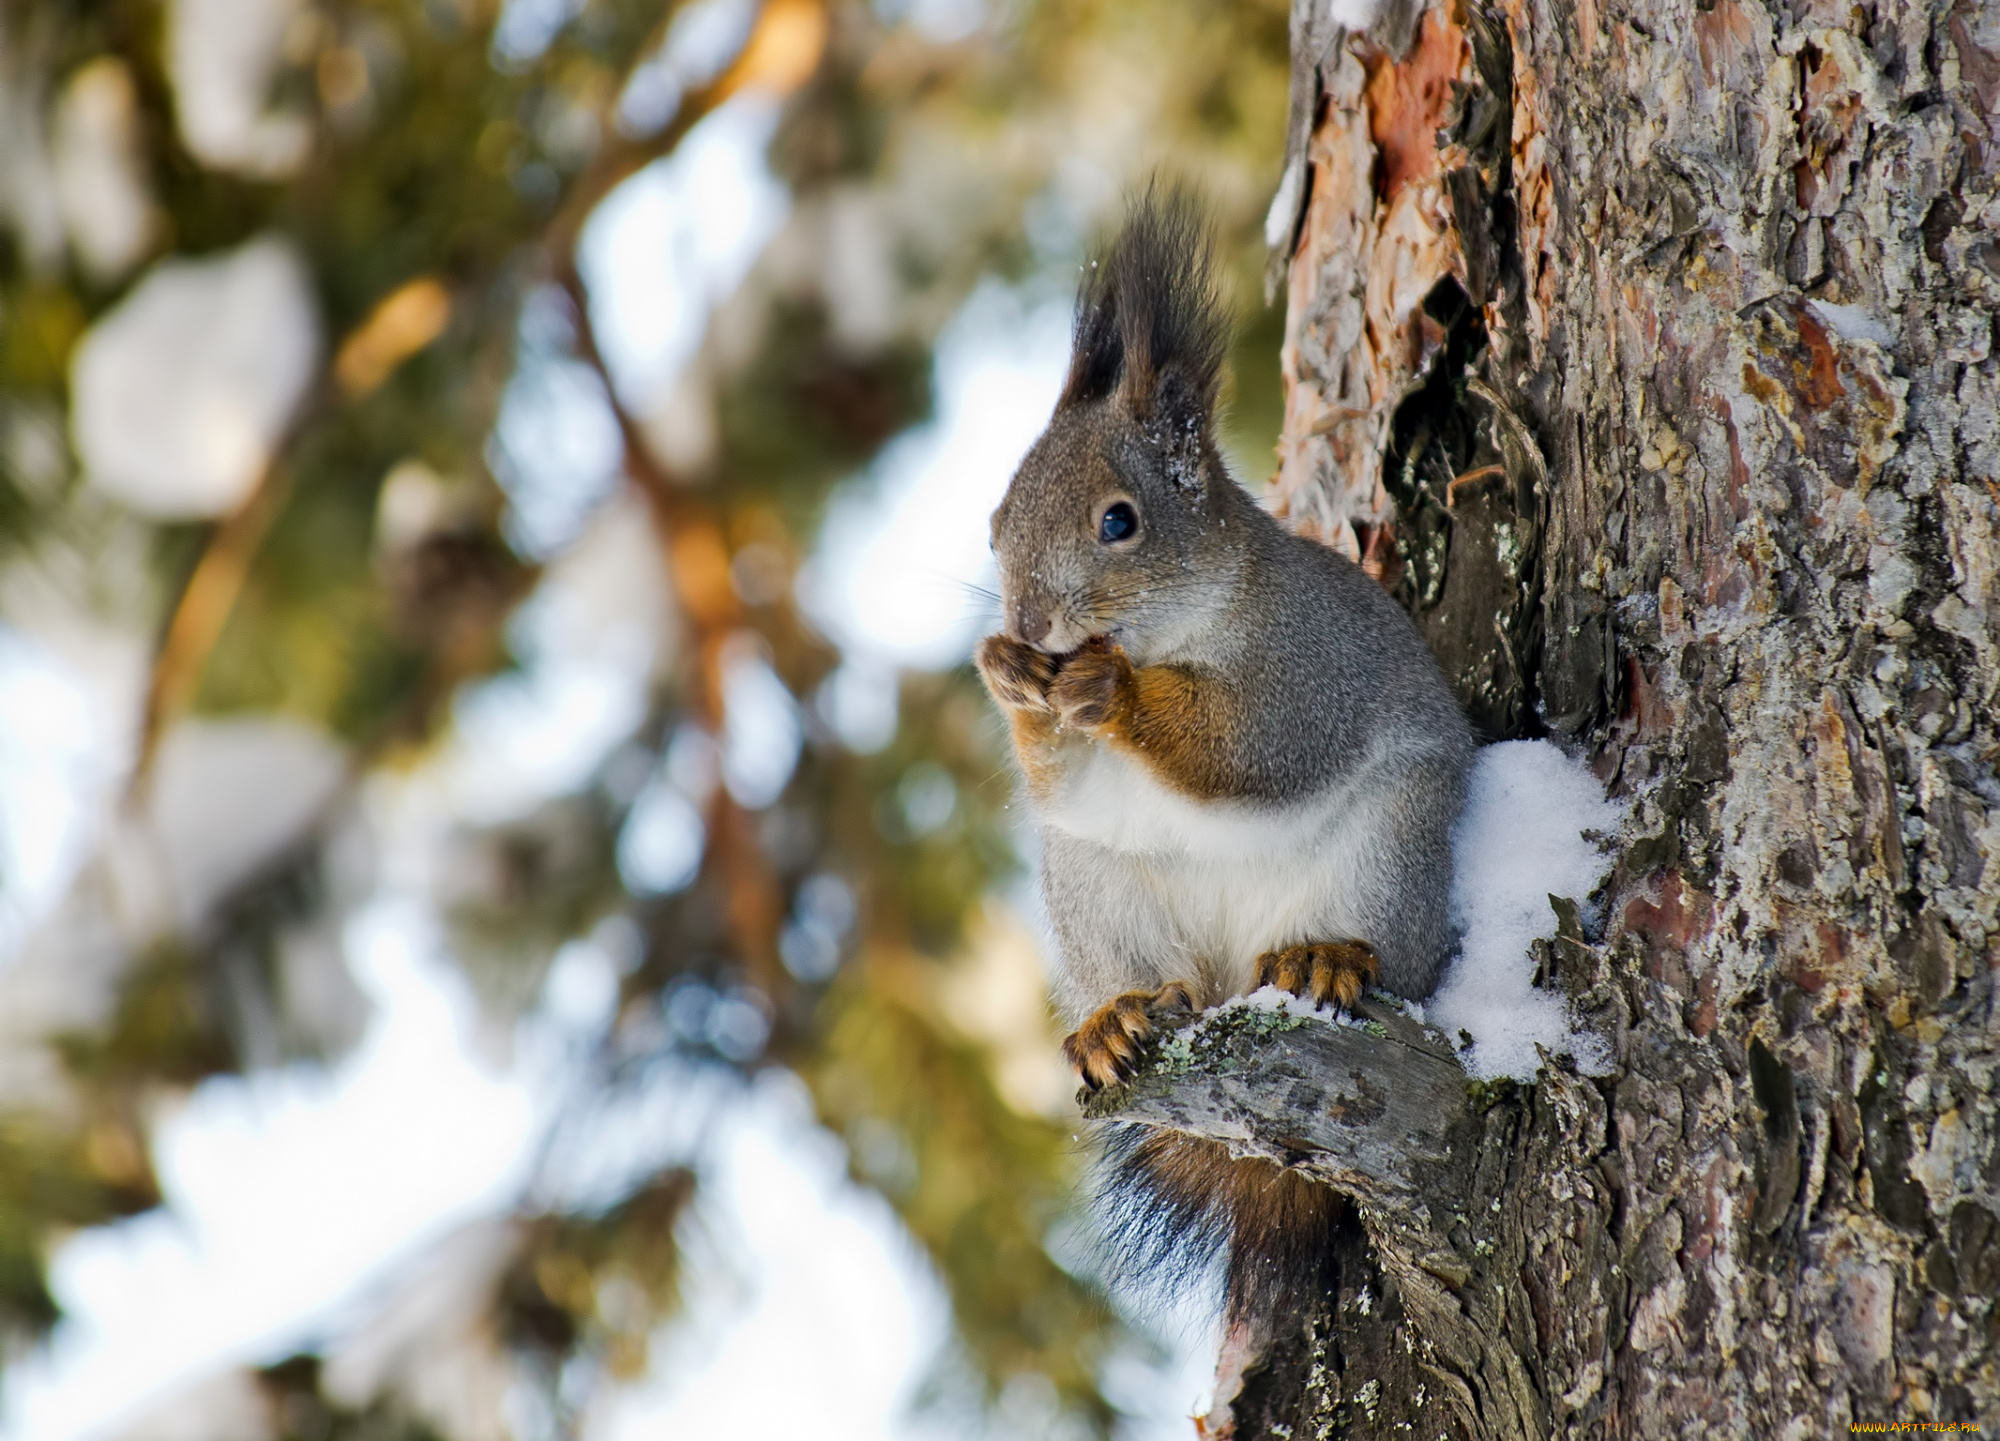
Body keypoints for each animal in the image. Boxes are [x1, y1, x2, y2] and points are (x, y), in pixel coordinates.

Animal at [976, 188, 1480, 1328]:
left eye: (1119, 521)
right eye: (994, 526)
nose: (1026, 622)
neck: (1180, 627)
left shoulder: (1305, 668)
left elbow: (1247, 749)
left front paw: (1110, 689)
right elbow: (1063, 779)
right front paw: (1007, 678)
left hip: (1391, 850)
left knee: (1381, 951)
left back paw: (1322, 957)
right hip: (1097, 897)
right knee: (1147, 979)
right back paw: (1113, 1021)